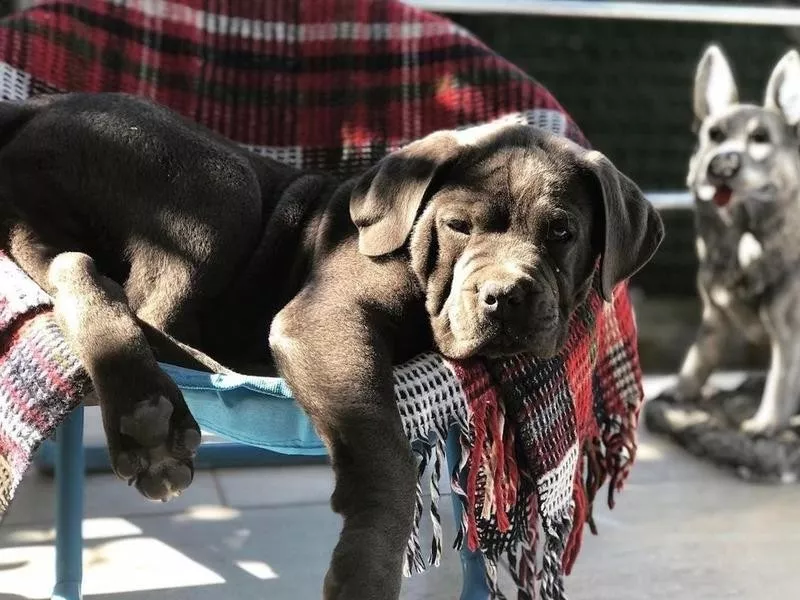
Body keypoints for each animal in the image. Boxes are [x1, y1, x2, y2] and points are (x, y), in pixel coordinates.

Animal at [0, 92, 664, 596]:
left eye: (562, 233)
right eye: (457, 226)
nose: (506, 297)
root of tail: (35, 108)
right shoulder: (325, 318)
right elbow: (387, 460)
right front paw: (364, 568)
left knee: (73, 268)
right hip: (218, 186)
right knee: (114, 289)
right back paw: (149, 415)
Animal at [672, 44, 800, 434]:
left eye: (761, 139)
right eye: (714, 134)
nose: (722, 165)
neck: (746, 242)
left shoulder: (788, 332)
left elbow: (780, 379)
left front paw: (767, 422)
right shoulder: (714, 316)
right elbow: (698, 357)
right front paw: (682, 392)